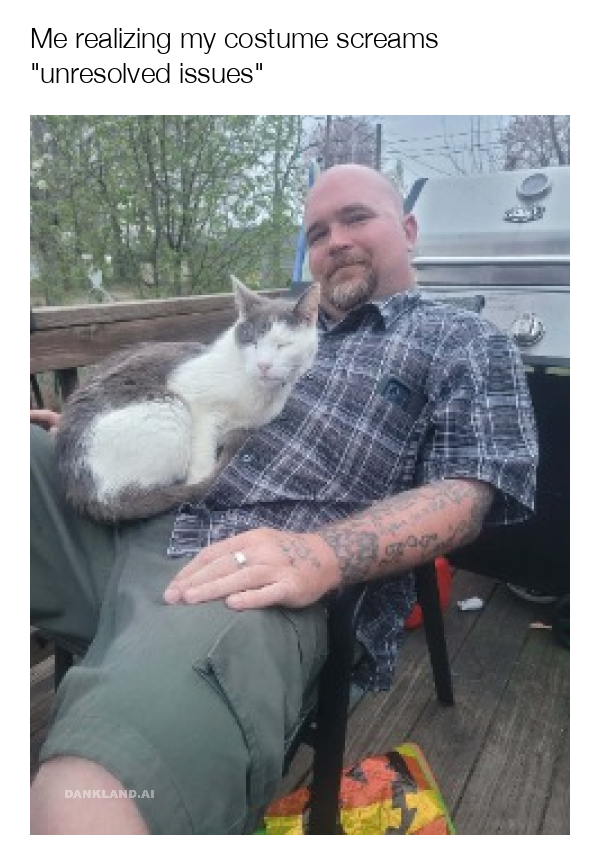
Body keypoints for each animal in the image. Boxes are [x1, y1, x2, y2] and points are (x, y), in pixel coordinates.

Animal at [55, 276, 320, 523]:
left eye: (283, 345)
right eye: (251, 341)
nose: (263, 365)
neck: (258, 394)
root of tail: (83, 490)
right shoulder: (195, 400)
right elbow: (202, 459)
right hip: (171, 408)